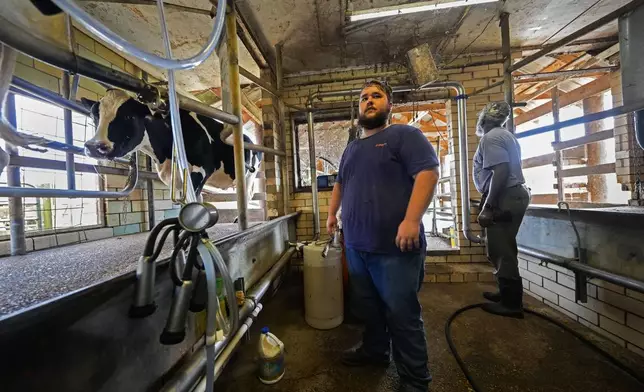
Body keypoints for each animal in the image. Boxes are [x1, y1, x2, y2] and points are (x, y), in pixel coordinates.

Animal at [82, 88, 262, 205]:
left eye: (129, 116)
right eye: (94, 115)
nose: (94, 146)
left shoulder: (201, 171)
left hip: (249, 176)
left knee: (246, 196)